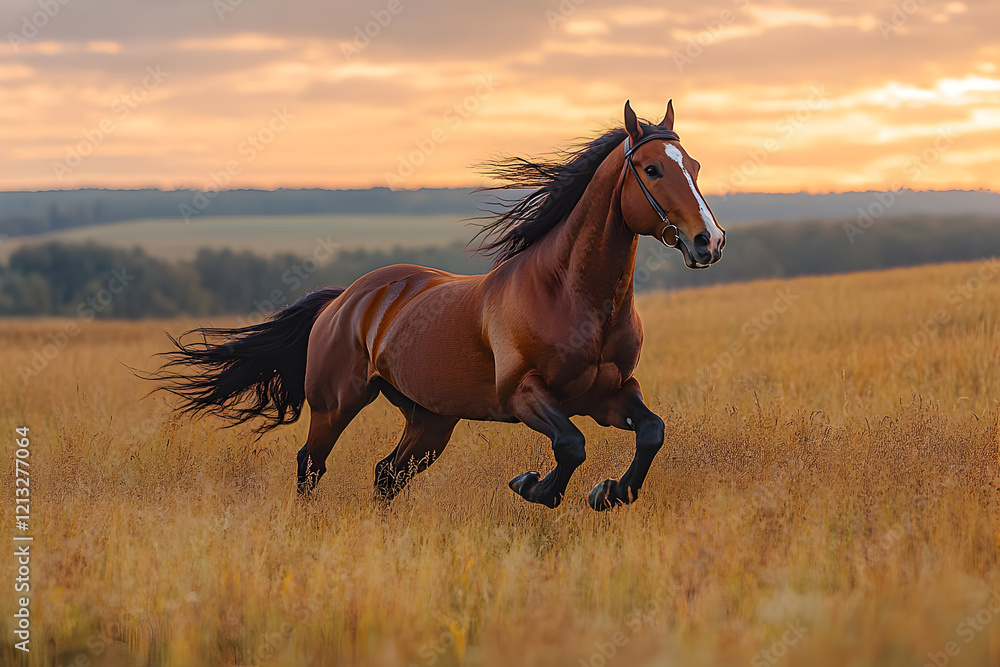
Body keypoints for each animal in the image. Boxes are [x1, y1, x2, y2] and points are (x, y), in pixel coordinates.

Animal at [151, 100, 725, 511]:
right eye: (651, 169)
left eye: (696, 165)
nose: (709, 242)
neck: (570, 295)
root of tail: (345, 300)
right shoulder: (523, 395)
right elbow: (571, 445)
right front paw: (533, 486)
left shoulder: (610, 394)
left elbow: (651, 432)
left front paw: (610, 493)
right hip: (336, 405)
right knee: (310, 466)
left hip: (430, 420)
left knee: (386, 475)